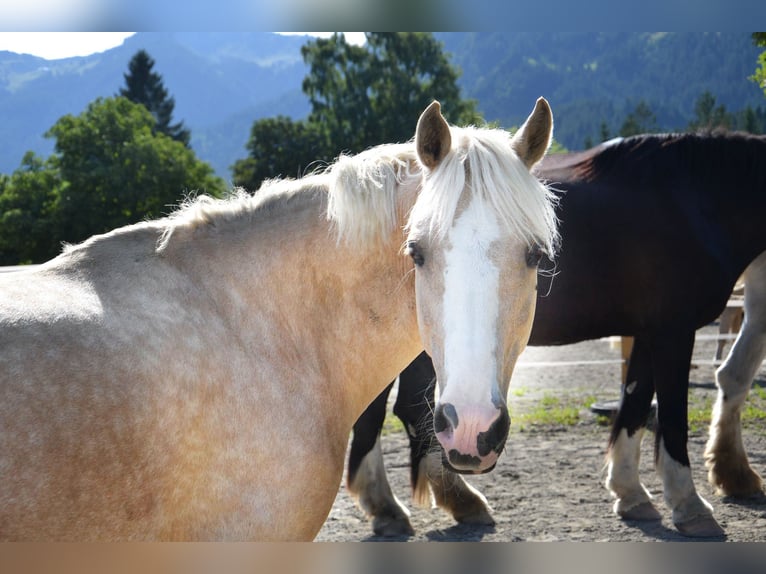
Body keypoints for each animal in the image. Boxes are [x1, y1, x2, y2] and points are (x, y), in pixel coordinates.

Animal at [348, 131, 766, 538]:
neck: (690, 201)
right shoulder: (673, 330)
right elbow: (674, 416)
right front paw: (691, 505)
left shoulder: (649, 330)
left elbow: (635, 403)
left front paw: (630, 491)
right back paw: (422, 503)